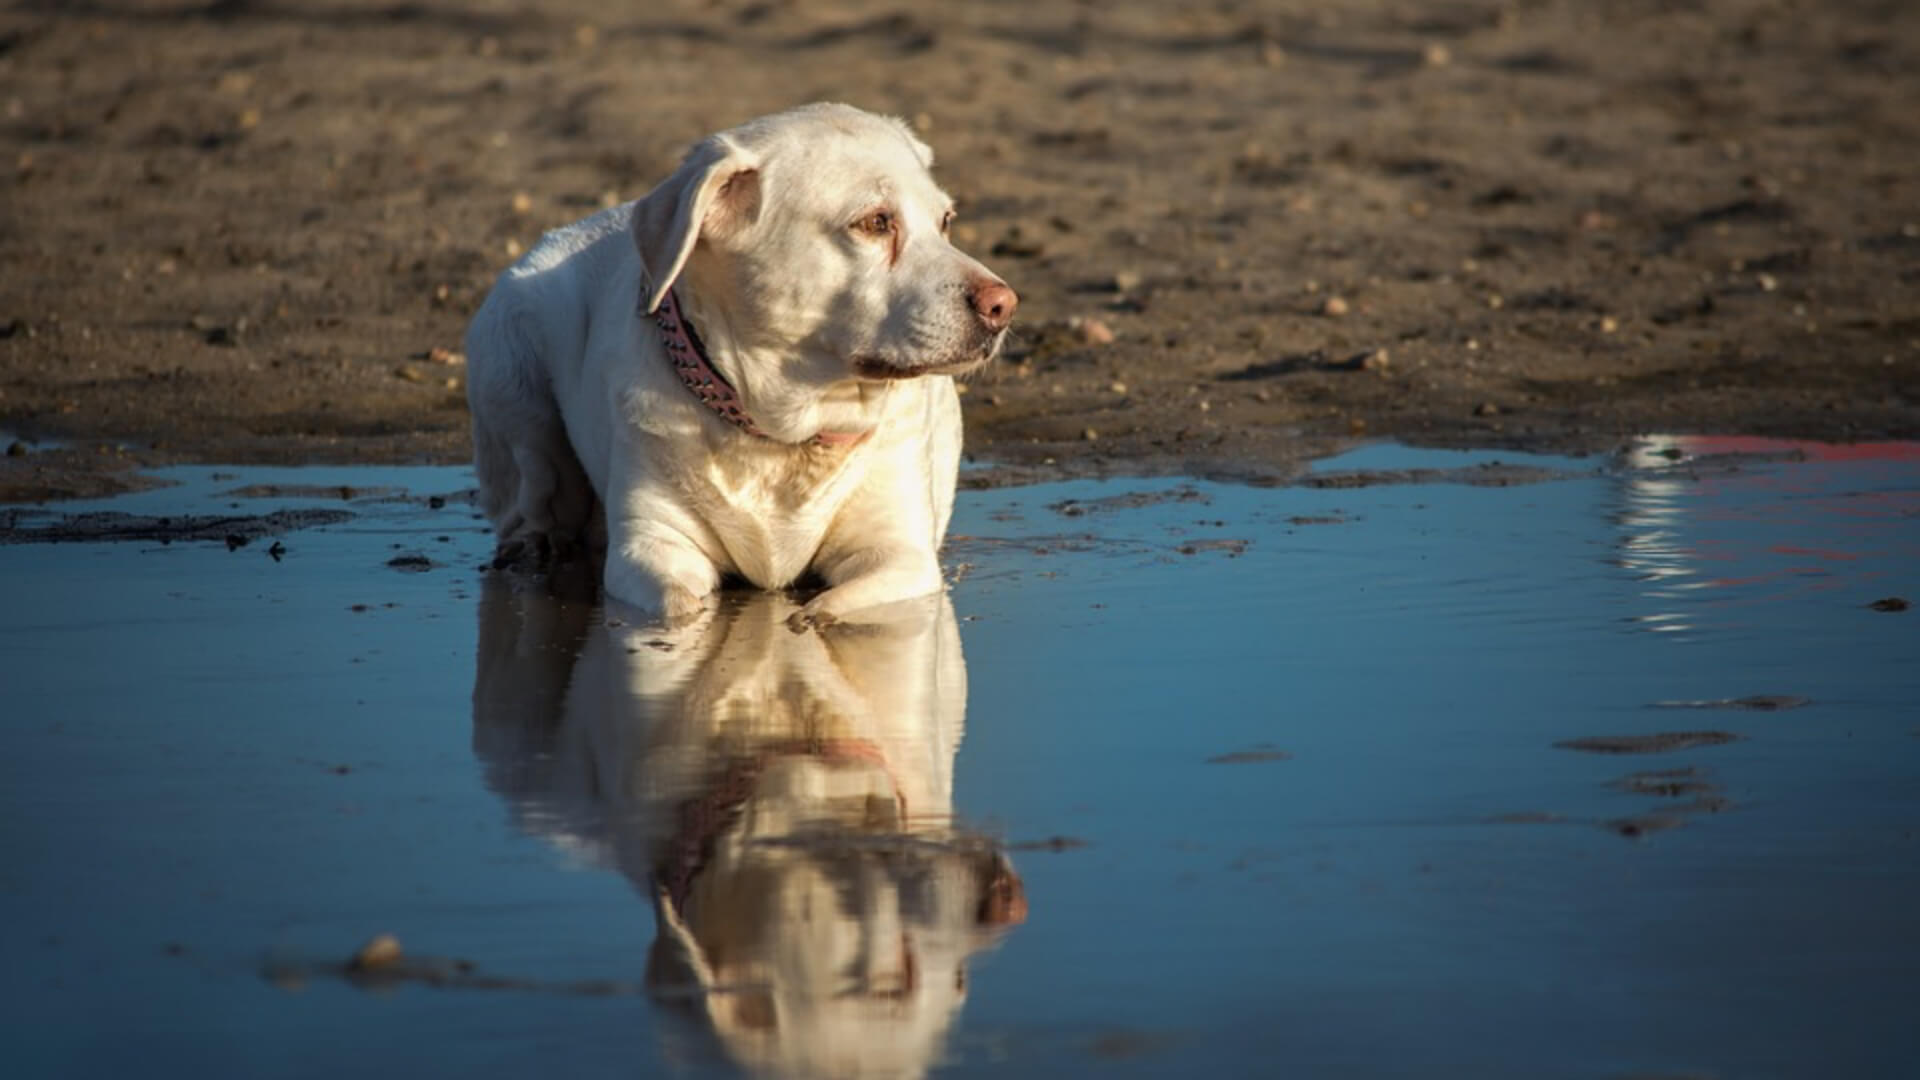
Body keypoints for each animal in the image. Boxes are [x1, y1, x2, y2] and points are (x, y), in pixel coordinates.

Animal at [460, 102, 1021, 622]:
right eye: (875, 222)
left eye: (946, 221)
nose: (1004, 305)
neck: (785, 436)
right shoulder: (652, 546)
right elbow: (679, 610)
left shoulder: (899, 556)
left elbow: (829, 608)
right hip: (511, 372)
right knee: (531, 499)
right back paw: (533, 545)